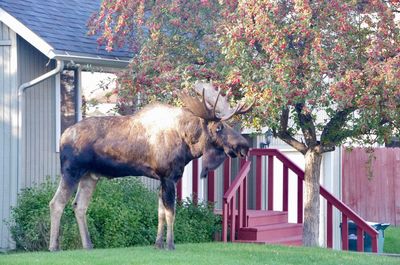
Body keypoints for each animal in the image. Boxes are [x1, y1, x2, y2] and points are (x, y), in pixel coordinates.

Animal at [49, 81, 253, 251]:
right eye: (219, 127)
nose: (244, 146)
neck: (188, 144)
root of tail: (62, 137)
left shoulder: (163, 179)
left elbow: (160, 212)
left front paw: (158, 244)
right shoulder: (169, 177)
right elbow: (171, 212)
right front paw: (170, 244)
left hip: (90, 176)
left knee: (79, 206)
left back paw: (88, 245)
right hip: (71, 171)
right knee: (56, 203)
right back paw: (54, 246)